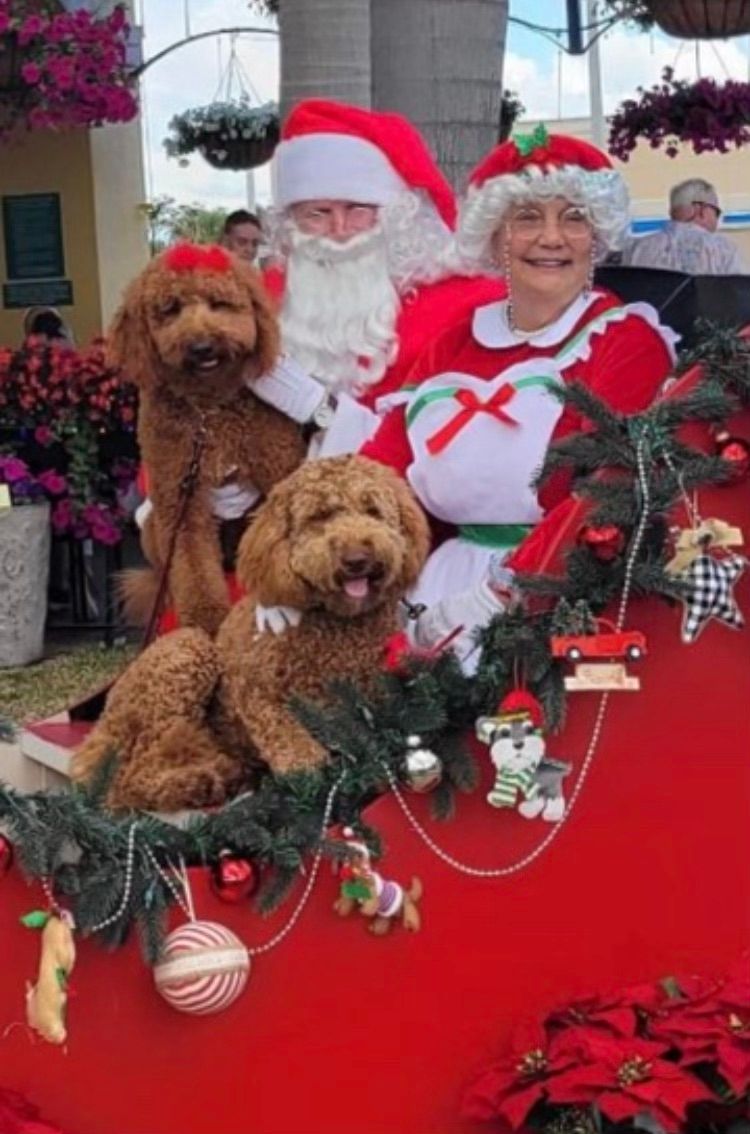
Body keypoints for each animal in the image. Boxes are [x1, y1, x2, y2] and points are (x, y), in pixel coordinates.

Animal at [74, 455, 433, 811]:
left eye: (373, 511)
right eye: (320, 516)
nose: (357, 558)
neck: (338, 625)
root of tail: (102, 726)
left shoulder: (377, 698)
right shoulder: (256, 691)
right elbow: (291, 741)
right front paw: (312, 774)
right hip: (185, 653)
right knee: (127, 780)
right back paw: (197, 783)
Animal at [111, 240, 304, 639]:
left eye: (219, 303)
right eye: (170, 309)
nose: (201, 346)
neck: (209, 411)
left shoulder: (277, 472)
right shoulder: (179, 500)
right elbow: (193, 565)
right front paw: (206, 621)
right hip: (154, 529)